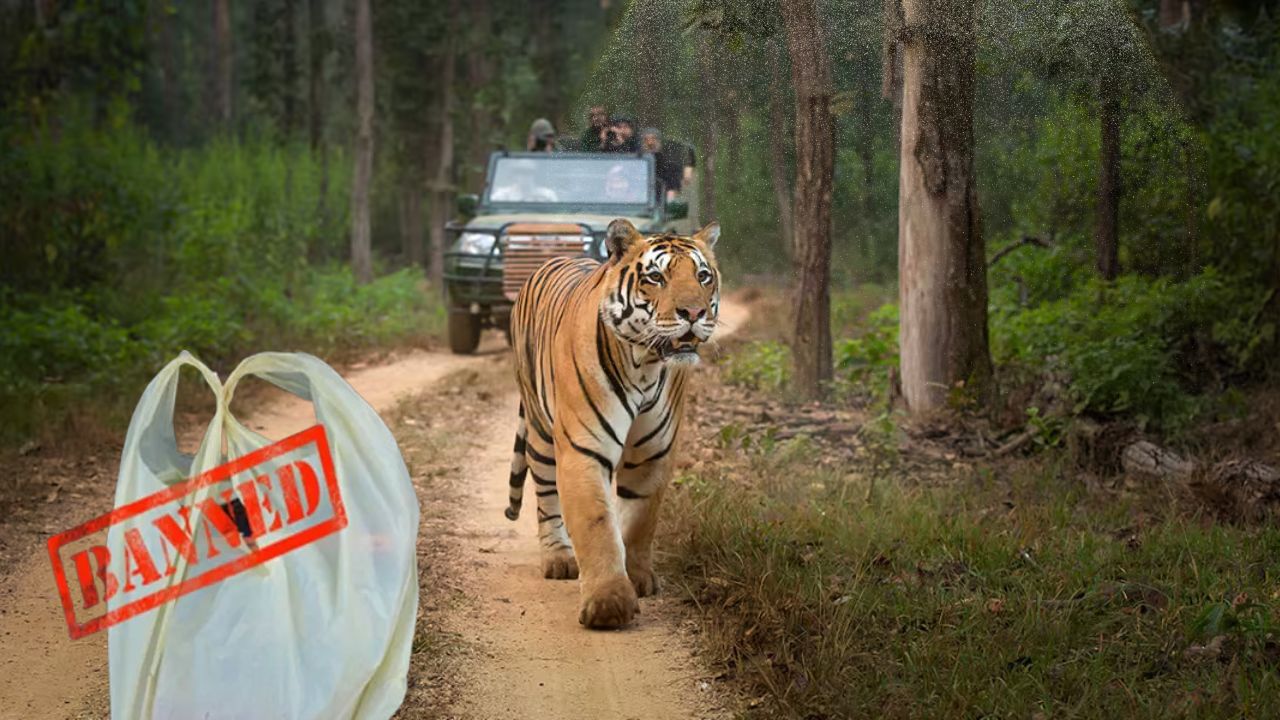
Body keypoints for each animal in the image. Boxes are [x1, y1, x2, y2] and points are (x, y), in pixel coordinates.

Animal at [504, 218, 721, 628]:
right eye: (656, 277)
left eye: (703, 276)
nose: (694, 313)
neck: (646, 364)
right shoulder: (583, 449)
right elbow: (596, 522)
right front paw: (609, 603)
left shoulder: (654, 454)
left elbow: (638, 520)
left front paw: (637, 578)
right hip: (540, 431)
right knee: (546, 498)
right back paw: (558, 558)